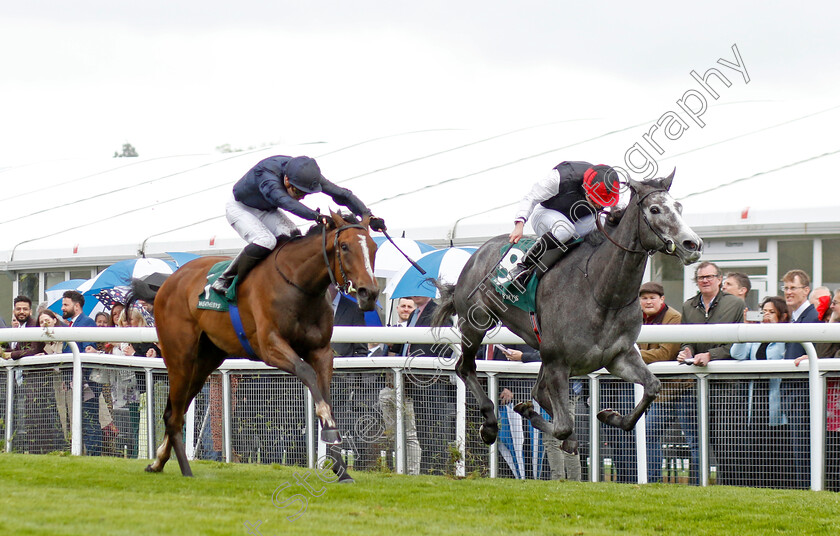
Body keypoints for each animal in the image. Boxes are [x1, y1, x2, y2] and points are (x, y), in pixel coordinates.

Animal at [130, 210, 378, 478]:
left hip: (205, 360)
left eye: (374, 247)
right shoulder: (269, 346)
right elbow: (306, 372)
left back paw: (158, 461)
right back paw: (186, 470)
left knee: (174, 410)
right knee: (174, 416)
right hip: (180, 356)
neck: (298, 285)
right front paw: (329, 430)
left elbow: (327, 394)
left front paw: (340, 467)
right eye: (344, 246)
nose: (369, 293)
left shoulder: (321, 351)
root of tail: (169, 281)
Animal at [434, 172, 704, 452]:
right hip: (476, 323)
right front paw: (531, 415)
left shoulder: (618, 357)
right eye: (655, 209)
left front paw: (610, 415)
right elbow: (564, 427)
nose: (693, 244)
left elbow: (651, 387)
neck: (601, 292)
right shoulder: (557, 362)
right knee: (465, 368)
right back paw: (489, 424)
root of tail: (477, 253)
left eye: (679, 207)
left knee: (536, 391)